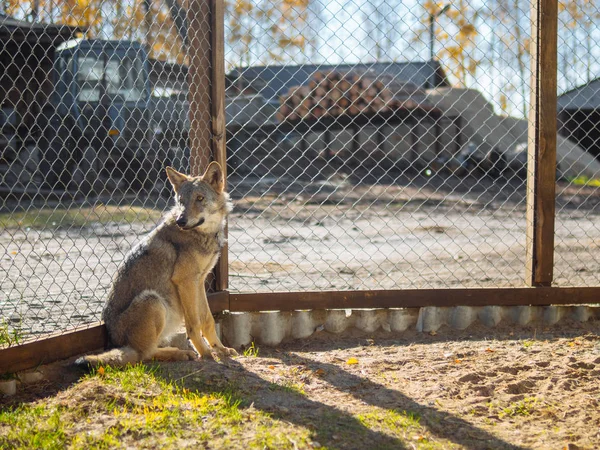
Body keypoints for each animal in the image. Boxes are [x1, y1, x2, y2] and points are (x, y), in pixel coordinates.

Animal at [77, 163, 239, 368]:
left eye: (200, 198)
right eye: (181, 200)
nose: (181, 221)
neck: (204, 234)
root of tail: (116, 343)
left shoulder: (199, 281)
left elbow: (207, 320)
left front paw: (221, 349)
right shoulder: (186, 282)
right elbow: (194, 325)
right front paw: (206, 353)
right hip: (153, 300)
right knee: (143, 355)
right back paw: (181, 353)